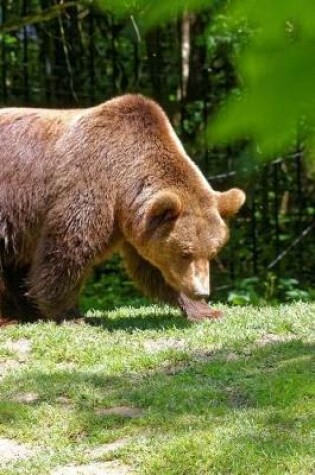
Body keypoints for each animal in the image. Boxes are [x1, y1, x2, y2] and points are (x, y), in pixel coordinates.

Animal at [0, 93, 247, 326]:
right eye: (185, 252)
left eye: (212, 252)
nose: (201, 291)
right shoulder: (89, 186)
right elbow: (67, 249)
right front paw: (71, 314)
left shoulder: (137, 223)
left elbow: (155, 267)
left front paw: (205, 311)